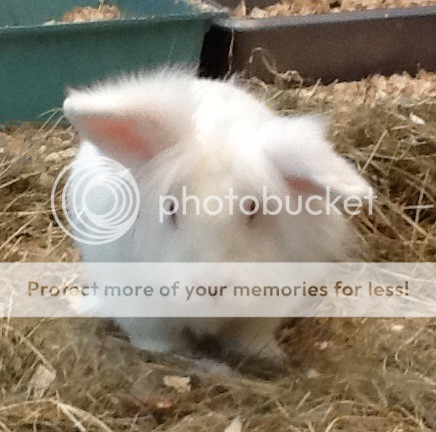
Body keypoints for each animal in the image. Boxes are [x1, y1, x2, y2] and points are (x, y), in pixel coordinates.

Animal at [62, 68, 368, 362]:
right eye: (171, 209)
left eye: (252, 209)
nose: (210, 288)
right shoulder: (139, 305)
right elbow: (155, 335)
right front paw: (165, 351)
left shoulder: (266, 308)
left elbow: (250, 336)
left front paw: (266, 354)